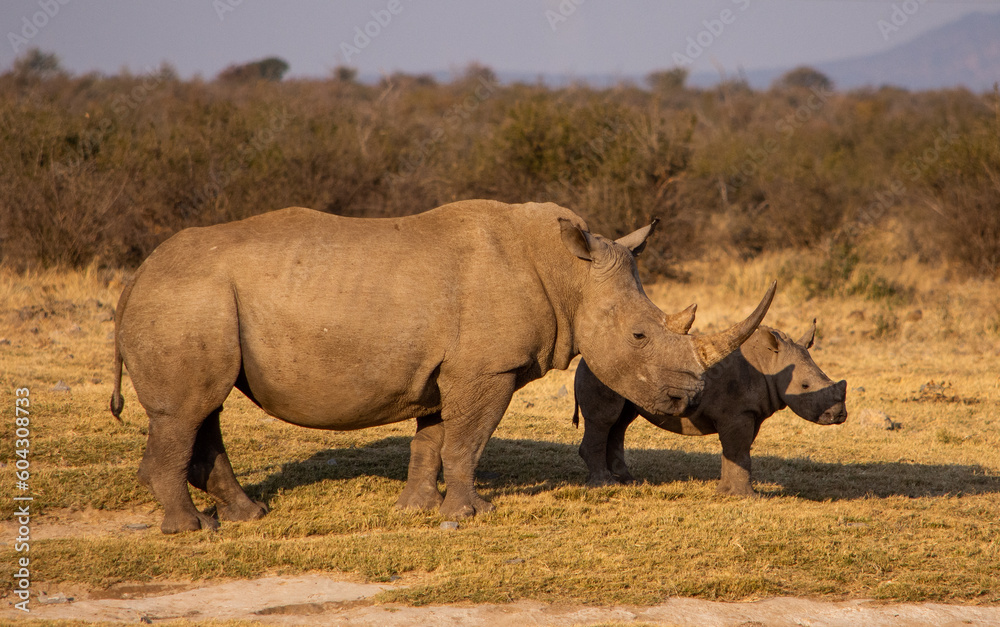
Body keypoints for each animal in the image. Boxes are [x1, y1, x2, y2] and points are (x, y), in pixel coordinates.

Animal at [110, 200, 776, 533]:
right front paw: (471, 515)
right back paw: (191, 530)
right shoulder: (487, 370)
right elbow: (467, 441)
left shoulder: (443, 370)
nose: (690, 397)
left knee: (205, 408)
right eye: (639, 335)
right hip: (186, 297)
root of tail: (136, 274)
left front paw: (417, 510)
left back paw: (248, 515)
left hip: (194, 300)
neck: (570, 273)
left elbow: (431, 440)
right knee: (189, 410)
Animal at [574, 317, 847, 495]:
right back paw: (604, 485)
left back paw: (628, 482)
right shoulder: (737, 413)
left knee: (621, 422)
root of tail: (586, 359)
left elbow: (737, 450)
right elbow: (739, 449)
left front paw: (726, 492)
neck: (771, 362)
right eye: (804, 386)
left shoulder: (749, 412)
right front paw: (744, 496)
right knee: (606, 420)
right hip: (604, 372)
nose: (838, 415)